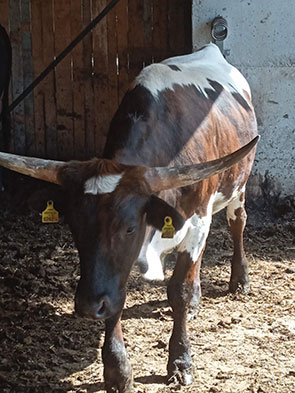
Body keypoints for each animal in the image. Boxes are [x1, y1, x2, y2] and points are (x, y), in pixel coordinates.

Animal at [0, 43, 260, 392]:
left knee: (237, 223)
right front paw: (117, 369)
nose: (86, 306)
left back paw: (239, 280)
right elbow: (115, 297)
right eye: (73, 226)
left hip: (237, 187)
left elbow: (178, 289)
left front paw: (180, 360)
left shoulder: (196, 222)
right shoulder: (111, 271)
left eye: (129, 228)